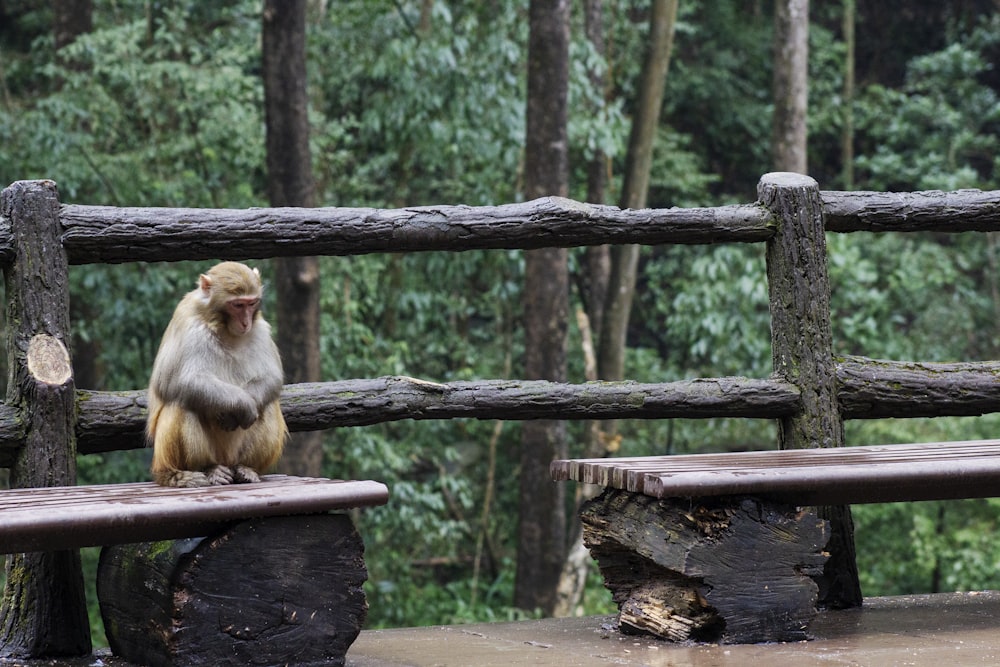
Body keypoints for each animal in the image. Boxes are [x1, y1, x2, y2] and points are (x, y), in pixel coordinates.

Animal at [148, 264, 290, 488]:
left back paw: (247, 469)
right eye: (237, 305)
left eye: (251, 303)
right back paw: (198, 470)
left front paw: (245, 403)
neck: (222, 326)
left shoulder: (260, 327)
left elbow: (271, 377)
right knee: (182, 401)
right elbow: (172, 381)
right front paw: (241, 404)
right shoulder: (187, 322)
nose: (245, 322)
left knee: (268, 405)